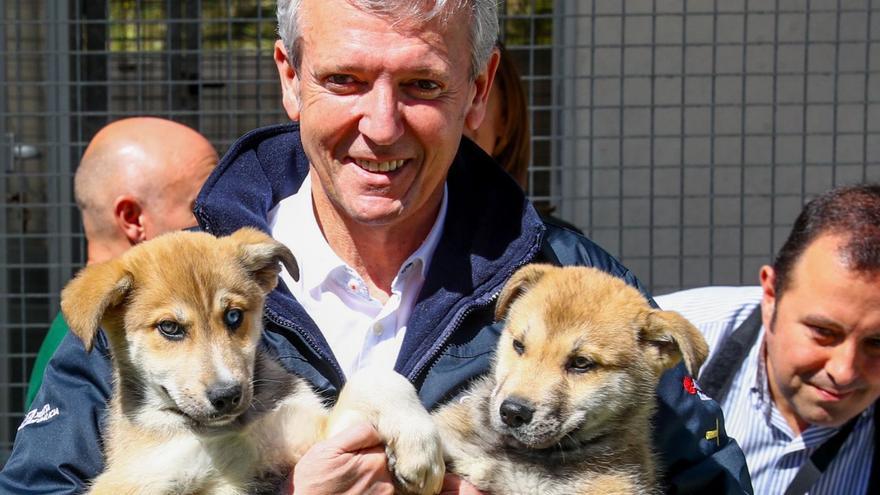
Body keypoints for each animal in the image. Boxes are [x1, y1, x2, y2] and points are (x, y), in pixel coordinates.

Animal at [59, 229, 444, 495]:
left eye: (233, 316)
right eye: (169, 328)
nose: (227, 395)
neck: (222, 430)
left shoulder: (312, 437)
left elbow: (377, 379)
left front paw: (419, 445)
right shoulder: (136, 479)